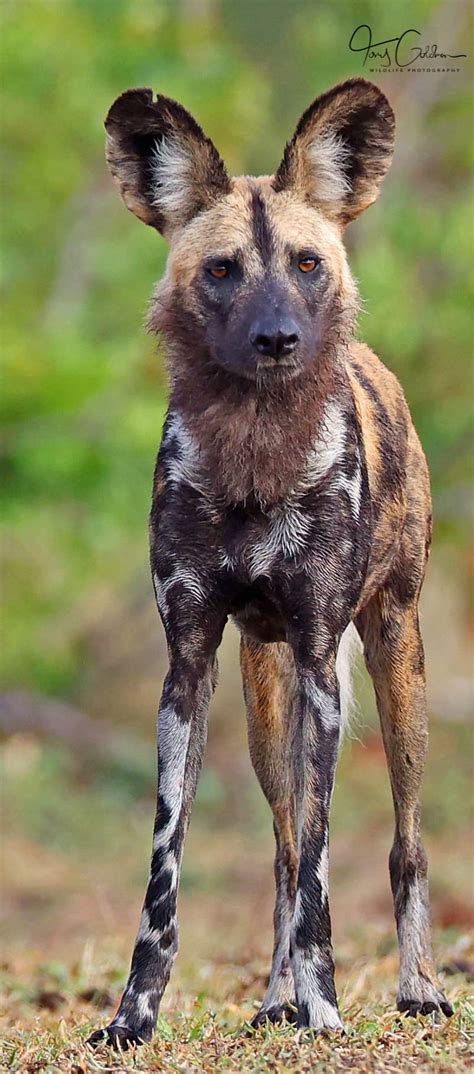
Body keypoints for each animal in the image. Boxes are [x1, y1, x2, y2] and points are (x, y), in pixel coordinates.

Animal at [88, 81, 451, 1048]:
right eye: (221, 270)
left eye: (306, 262)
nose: (280, 338)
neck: (255, 457)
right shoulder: (189, 667)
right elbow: (171, 868)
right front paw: (136, 1015)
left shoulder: (323, 660)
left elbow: (328, 862)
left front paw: (326, 1011)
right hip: (260, 691)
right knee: (284, 848)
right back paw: (273, 1000)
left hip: (397, 665)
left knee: (402, 842)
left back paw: (417, 988)